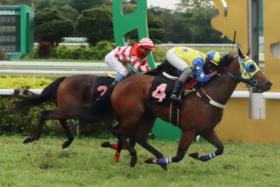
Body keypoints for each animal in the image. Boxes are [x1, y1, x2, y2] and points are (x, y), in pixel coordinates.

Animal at [107, 48, 272, 169]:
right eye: (251, 66)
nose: (268, 84)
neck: (209, 95)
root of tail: (120, 83)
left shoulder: (207, 130)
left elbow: (220, 148)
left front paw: (200, 156)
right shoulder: (189, 130)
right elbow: (178, 156)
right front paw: (153, 161)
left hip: (148, 115)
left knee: (139, 137)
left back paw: (155, 157)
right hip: (132, 115)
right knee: (118, 131)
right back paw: (135, 156)